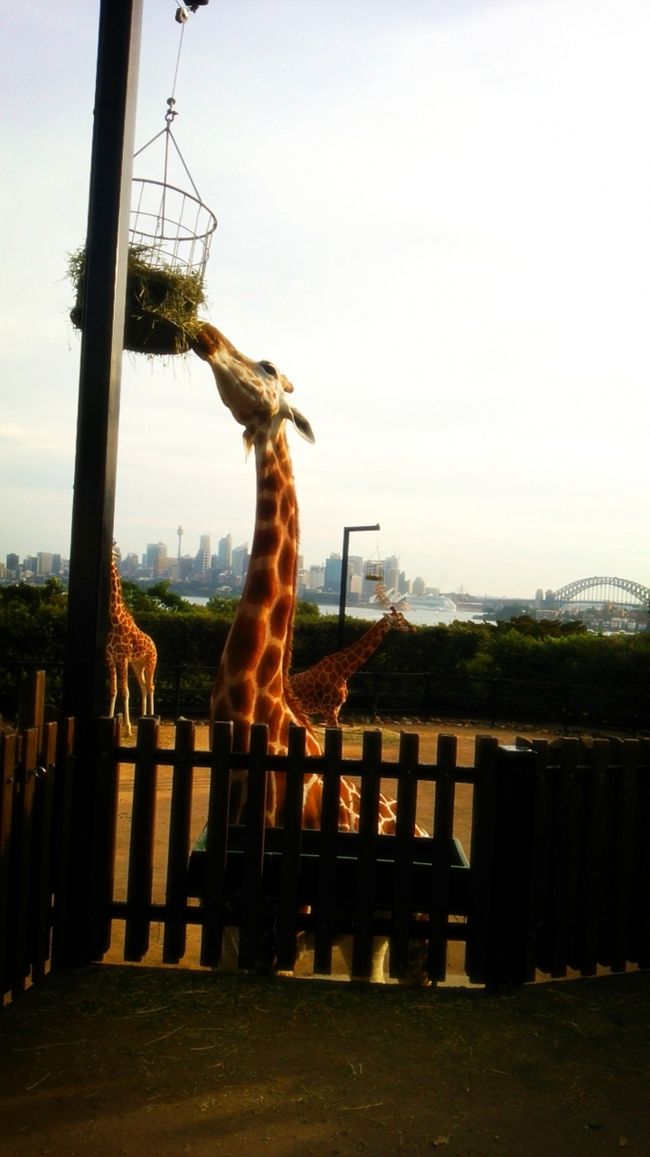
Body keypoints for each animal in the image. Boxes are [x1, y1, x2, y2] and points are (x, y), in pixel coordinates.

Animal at [106, 546, 157, 735]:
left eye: (114, 549)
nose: (115, 555)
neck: (115, 620)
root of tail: (154, 644)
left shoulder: (123, 658)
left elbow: (125, 691)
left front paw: (127, 728)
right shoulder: (110, 657)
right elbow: (113, 690)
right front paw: (109, 718)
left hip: (150, 661)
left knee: (150, 685)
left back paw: (151, 715)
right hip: (138, 664)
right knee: (143, 686)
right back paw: (143, 716)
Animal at [189, 323, 427, 976]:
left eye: (269, 367)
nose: (204, 333)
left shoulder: (286, 928)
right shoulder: (227, 926)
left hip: (407, 938)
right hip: (365, 936)